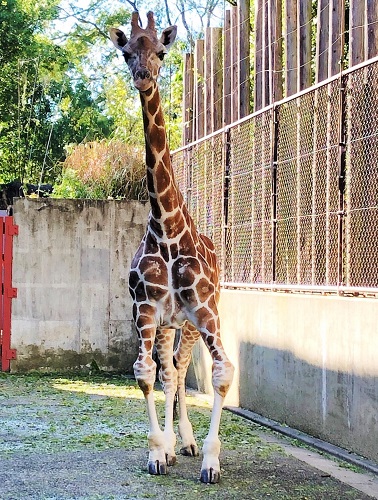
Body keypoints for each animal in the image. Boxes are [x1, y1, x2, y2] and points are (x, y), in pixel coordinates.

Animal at [109, 11, 233, 482]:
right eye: (127, 51)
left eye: (162, 52)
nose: (143, 77)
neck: (166, 227)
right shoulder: (145, 310)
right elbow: (146, 374)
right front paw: (158, 451)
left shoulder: (205, 312)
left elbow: (221, 373)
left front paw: (212, 460)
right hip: (167, 324)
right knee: (169, 371)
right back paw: (176, 444)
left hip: (192, 324)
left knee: (180, 369)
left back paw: (191, 442)